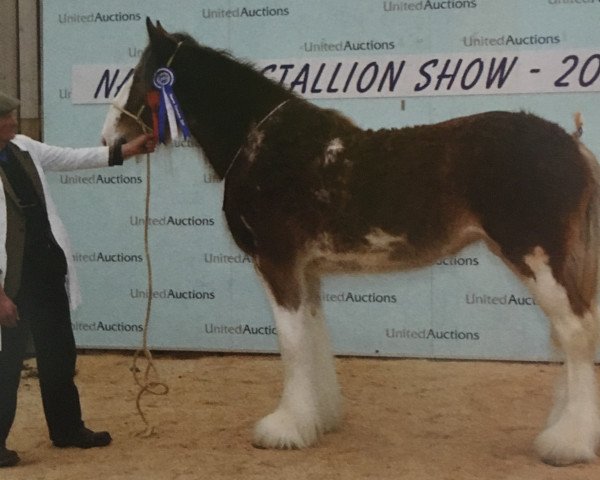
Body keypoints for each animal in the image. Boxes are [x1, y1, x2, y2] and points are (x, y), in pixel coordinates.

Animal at [102, 18, 600, 464]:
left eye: (142, 75)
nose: (111, 138)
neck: (261, 143)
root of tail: (574, 146)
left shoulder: (276, 262)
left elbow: (291, 343)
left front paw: (284, 429)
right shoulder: (306, 271)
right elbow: (314, 336)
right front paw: (317, 419)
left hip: (538, 257)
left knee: (576, 333)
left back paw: (568, 443)